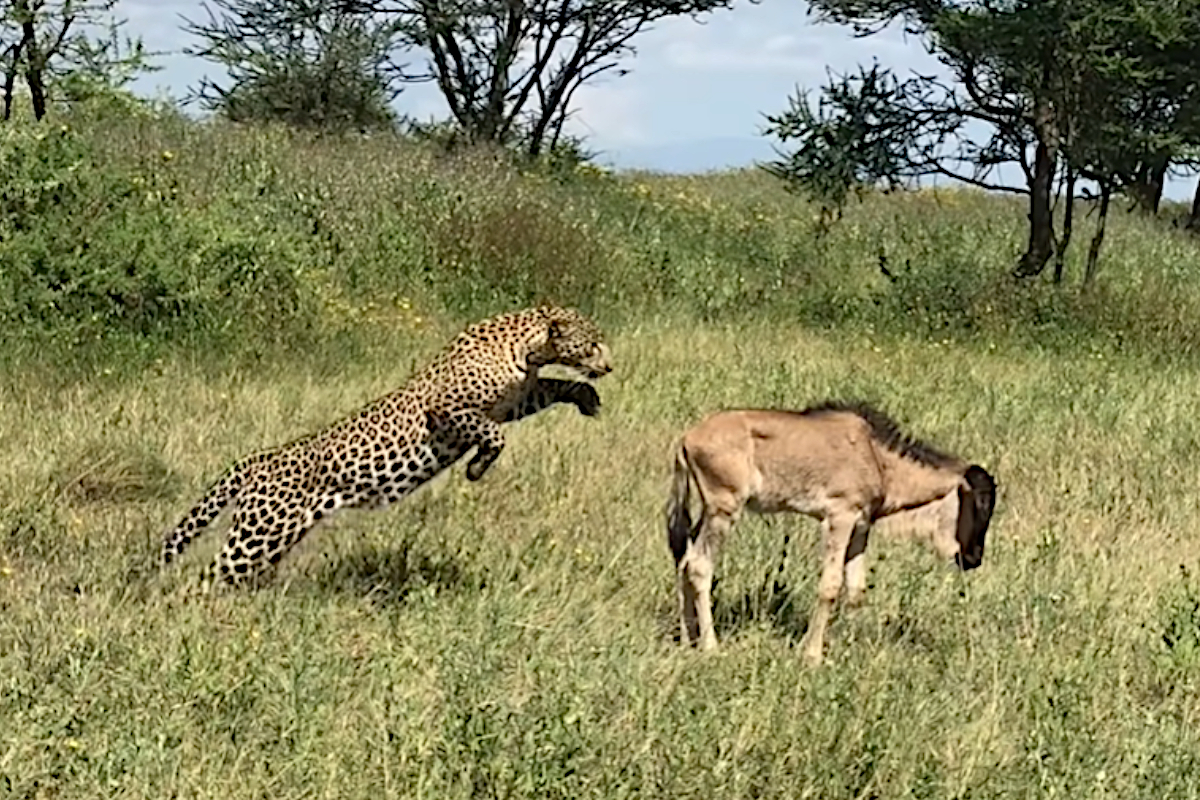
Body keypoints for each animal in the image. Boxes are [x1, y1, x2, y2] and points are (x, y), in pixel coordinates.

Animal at [162, 303, 609, 585]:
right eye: (591, 343)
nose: (608, 365)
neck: (528, 348)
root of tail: (260, 457)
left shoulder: (518, 399)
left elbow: (557, 386)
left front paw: (588, 398)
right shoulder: (446, 408)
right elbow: (492, 435)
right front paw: (476, 468)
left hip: (275, 537)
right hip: (258, 532)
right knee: (207, 576)